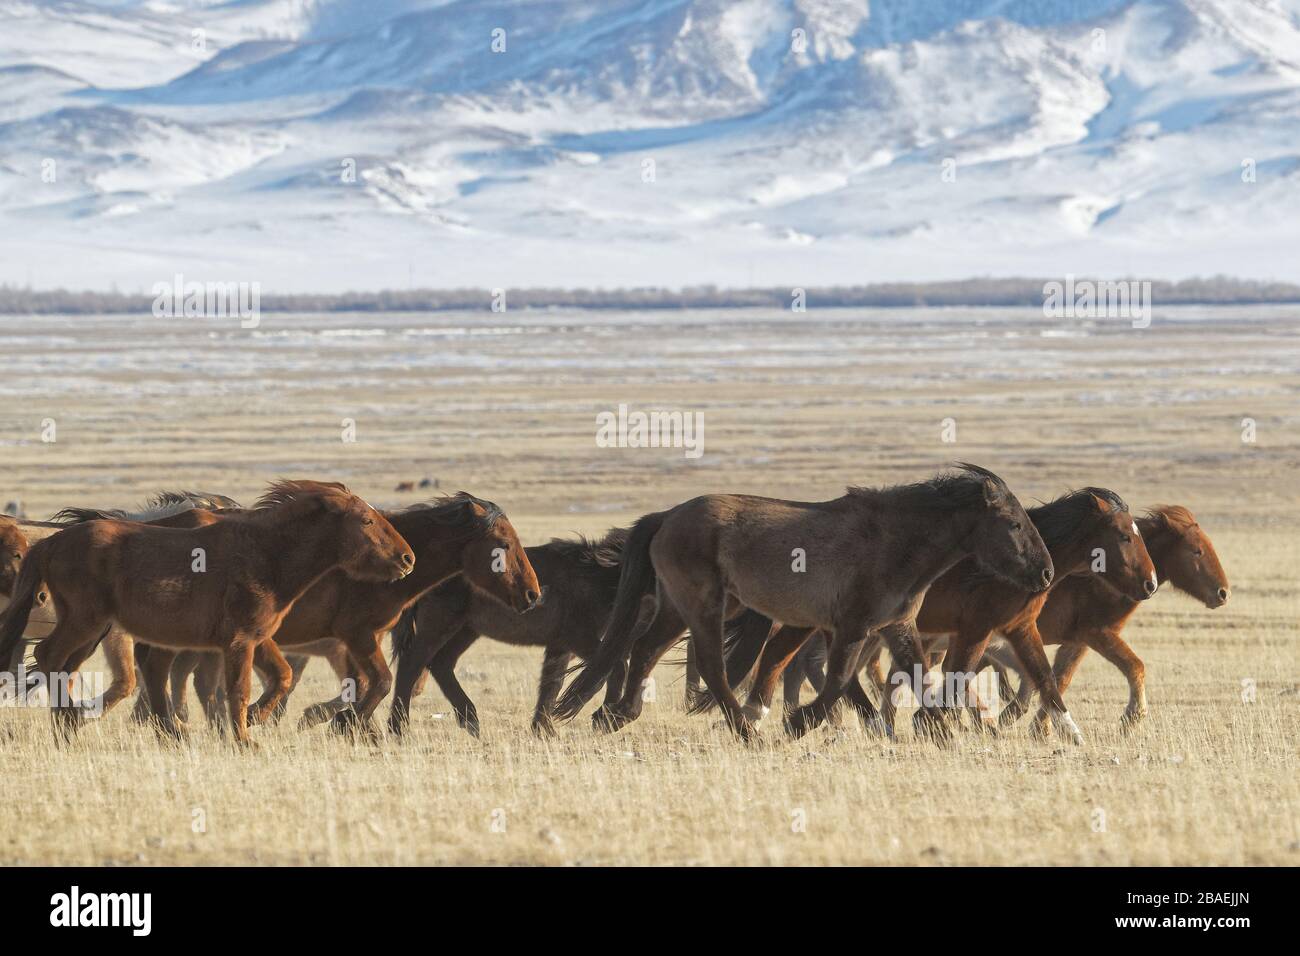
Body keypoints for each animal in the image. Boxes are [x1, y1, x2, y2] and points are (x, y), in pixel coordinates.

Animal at [0, 480, 415, 746]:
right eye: (366, 520)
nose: (407, 558)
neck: (267, 553)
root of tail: (52, 542)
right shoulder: (238, 640)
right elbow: (237, 689)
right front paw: (245, 738)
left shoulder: (254, 637)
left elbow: (277, 677)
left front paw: (252, 722)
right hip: (86, 622)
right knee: (50, 656)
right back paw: (71, 722)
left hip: (91, 627)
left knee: (67, 666)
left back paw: (71, 725)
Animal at [132, 494, 544, 740]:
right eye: (503, 545)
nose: (532, 595)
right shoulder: (356, 634)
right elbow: (379, 681)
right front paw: (343, 724)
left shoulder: (356, 640)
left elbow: (362, 684)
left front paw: (348, 725)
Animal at [553, 463, 1053, 741]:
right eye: (1013, 523)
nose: (1046, 574)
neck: (895, 541)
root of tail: (666, 516)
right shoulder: (851, 628)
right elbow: (837, 682)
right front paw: (799, 724)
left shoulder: (897, 626)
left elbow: (920, 677)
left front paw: (940, 731)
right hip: (705, 608)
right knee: (711, 667)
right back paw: (744, 731)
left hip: (677, 608)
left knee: (645, 650)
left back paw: (616, 716)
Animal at [727, 488, 1157, 744]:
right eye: (1124, 536)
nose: (1151, 583)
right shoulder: (977, 628)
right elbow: (958, 675)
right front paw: (936, 723)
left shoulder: (1019, 629)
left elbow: (1045, 678)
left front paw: (1072, 734)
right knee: (797, 663)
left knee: (780, 657)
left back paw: (758, 717)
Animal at [985, 504, 1229, 734]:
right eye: (1196, 551)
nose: (1223, 593)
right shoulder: (1098, 634)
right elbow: (1135, 666)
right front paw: (1132, 717)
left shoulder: (1077, 643)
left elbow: (1060, 679)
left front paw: (1039, 728)